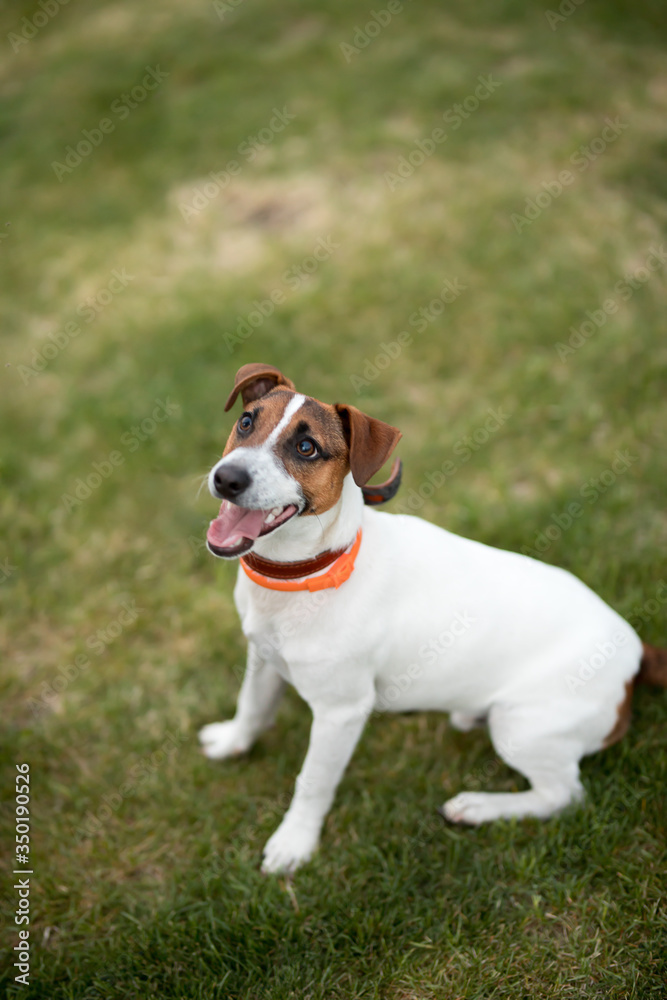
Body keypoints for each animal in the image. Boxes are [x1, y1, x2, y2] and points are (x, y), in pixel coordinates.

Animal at [198, 364, 667, 872]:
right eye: (246, 422)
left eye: (307, 448)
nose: (227, 479)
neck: (311, 571)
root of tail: (636, 650)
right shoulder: (262, 658)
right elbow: (251, 707)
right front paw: (232, 743)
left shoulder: (340, 713)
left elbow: (313, 781)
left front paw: (295, 841)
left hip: (522, 725)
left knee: (562, 794)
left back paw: (479, 807)